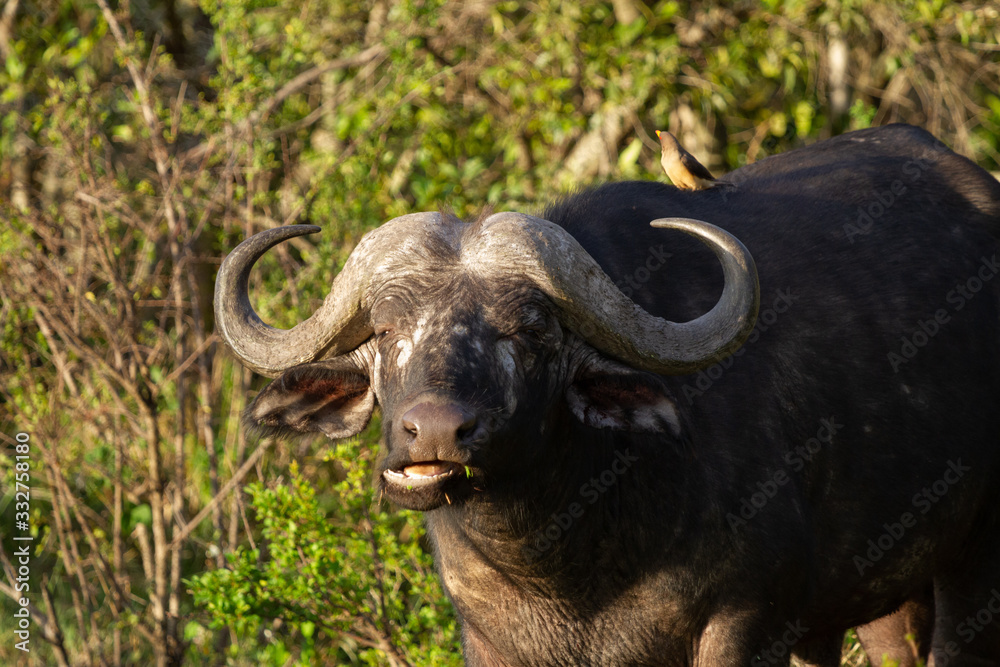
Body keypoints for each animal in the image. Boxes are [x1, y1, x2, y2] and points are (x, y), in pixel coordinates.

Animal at [215, 126, 1000, 667]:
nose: (433, 431)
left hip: (972, 564)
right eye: (383, 329)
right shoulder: (491, 641)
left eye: (530, 330)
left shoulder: (748, 621)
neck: (567, 561)